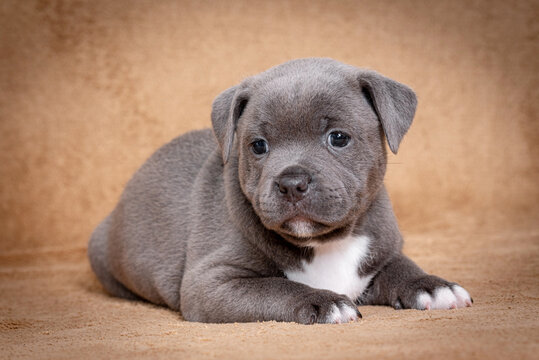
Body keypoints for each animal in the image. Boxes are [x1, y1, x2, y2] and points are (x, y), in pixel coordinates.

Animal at [88, 57, 472, 324]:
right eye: (258, 146)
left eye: (338, 138)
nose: (291, 183)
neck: (325, 243)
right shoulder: (212, 283)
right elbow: (277, 286)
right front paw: (324, 301)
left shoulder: (382, 251)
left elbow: (401, 267)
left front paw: (433, 286)